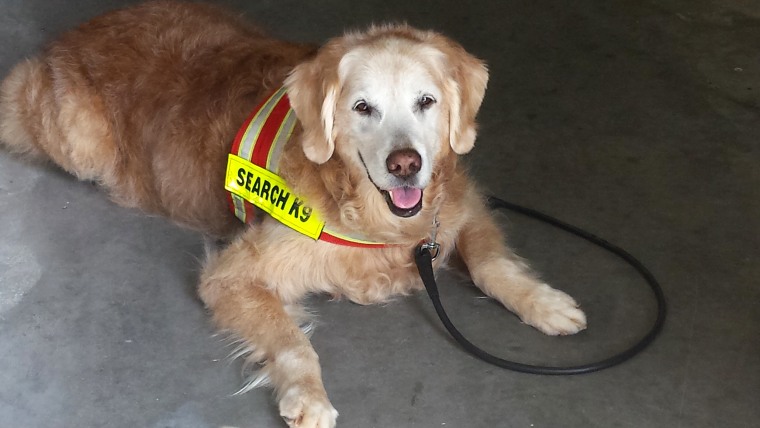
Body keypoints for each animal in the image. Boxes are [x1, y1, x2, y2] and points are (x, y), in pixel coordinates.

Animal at [0, 1, 588, 426]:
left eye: (427, 101)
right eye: (362, 107)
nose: (406, 165)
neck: (376, 220)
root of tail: (74, 32)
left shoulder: (462, 207)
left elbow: (493, 265)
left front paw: (545, 303)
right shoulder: (233, 273)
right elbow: (292, 342)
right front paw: (308, 397)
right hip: (79, 144)